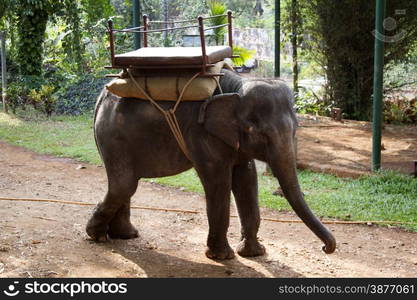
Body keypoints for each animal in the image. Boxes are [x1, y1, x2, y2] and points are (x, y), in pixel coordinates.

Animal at [85, 69, 334, 258]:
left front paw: (254, 253)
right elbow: (219, 183)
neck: (236, 88)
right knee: (124, 185)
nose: (326, 248)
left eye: (295, 129)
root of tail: (102, 94)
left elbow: (247, 179)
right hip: (114, 136)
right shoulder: (202, 134)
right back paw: (97, 236)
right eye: (258, 132)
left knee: (126, 185)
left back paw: (125, 235)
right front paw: (222, 257)